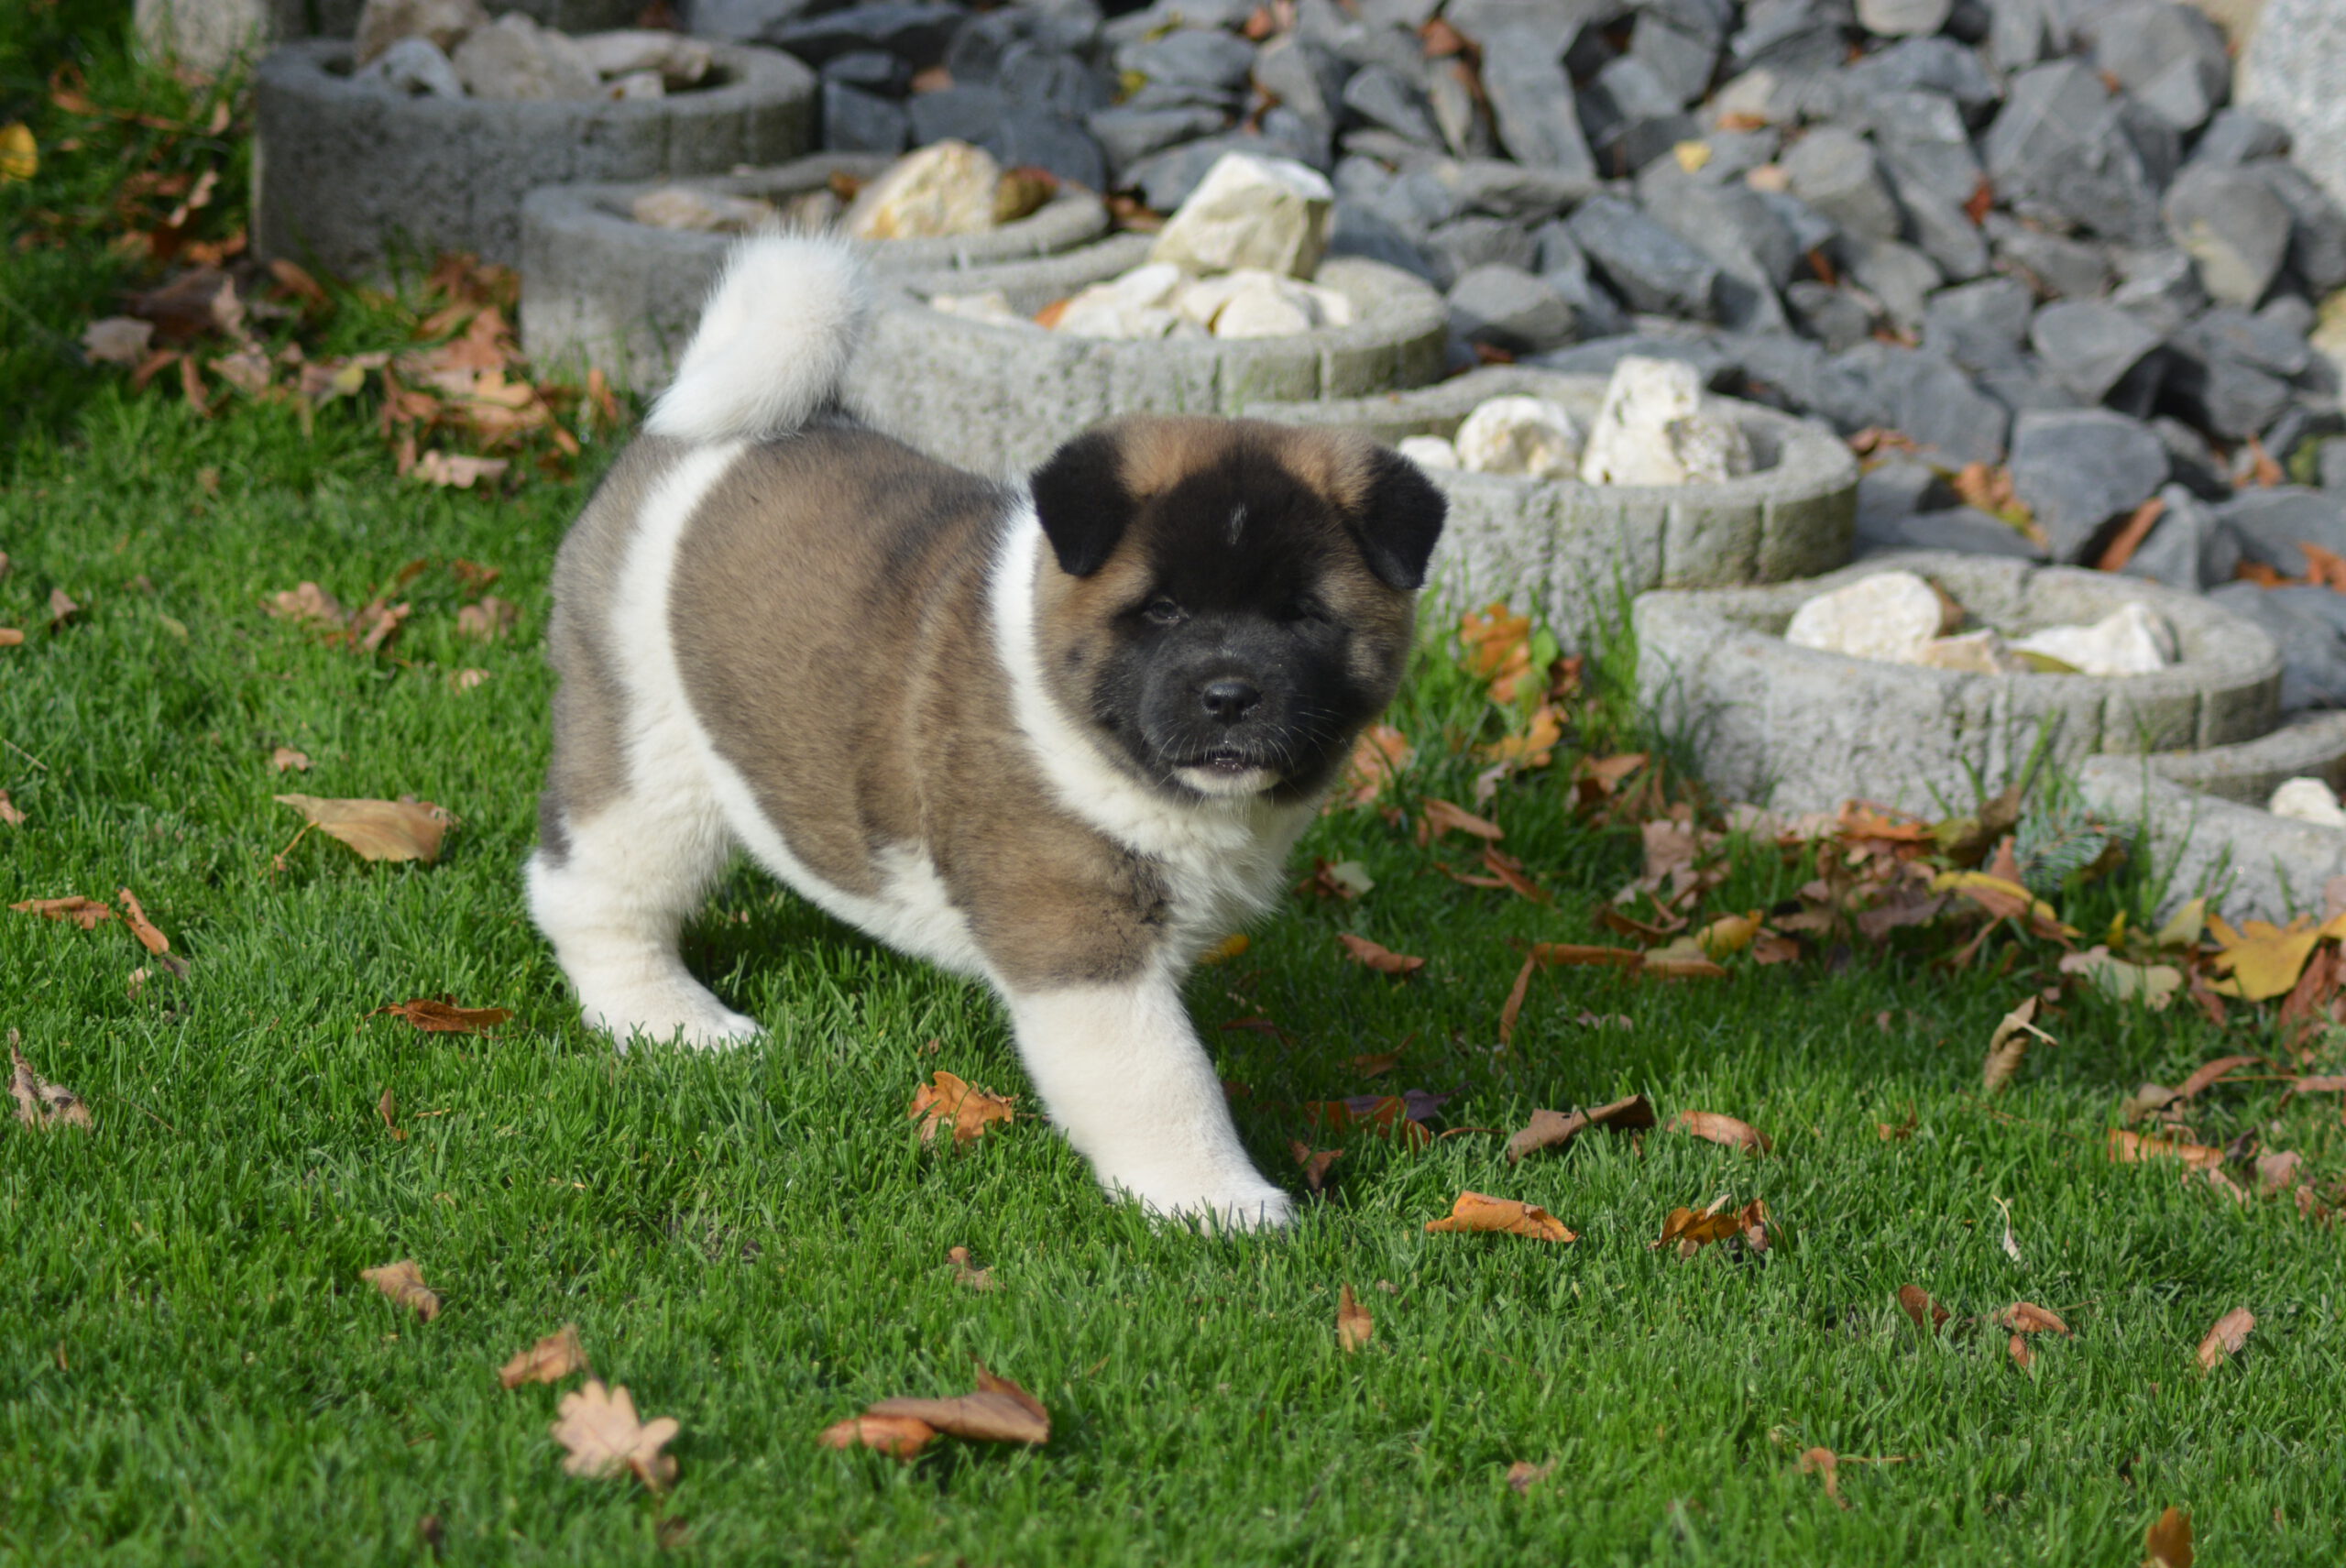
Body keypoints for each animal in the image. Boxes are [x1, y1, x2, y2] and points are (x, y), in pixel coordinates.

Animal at [526, 234, 1446, 1229]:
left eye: (1301, 615)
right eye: (1161, 611)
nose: (1231, 694)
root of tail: (688, 434)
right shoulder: (1078, 932)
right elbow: (1159, 1078)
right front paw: (1218, 1203)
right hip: (647, 753)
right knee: (592, 891)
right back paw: (667, 1019)